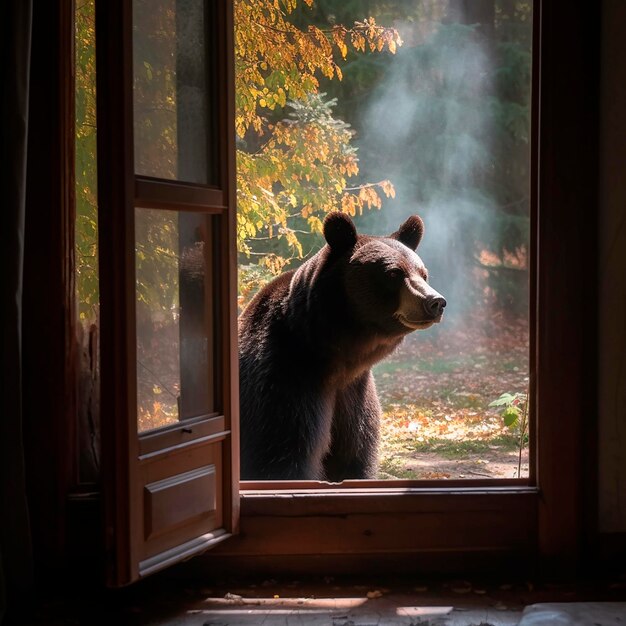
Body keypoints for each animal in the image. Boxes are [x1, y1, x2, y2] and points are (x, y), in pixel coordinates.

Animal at [235, 212, 444, 480]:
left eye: (423, 273)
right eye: (393, 273)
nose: (435, 302)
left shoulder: (354, 394)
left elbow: (354, 453)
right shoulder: (284, 380)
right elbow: (282, 455)